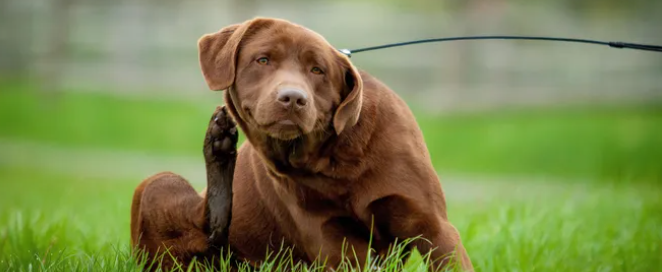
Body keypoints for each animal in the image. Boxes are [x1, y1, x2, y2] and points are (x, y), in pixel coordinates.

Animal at [131, 16, 472, 270]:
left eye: (317, 70)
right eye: (263, 59)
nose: (293, 98)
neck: (331, 159)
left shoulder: (432, 225)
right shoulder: (331, 240)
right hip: (157, 184)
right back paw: (218, 145)